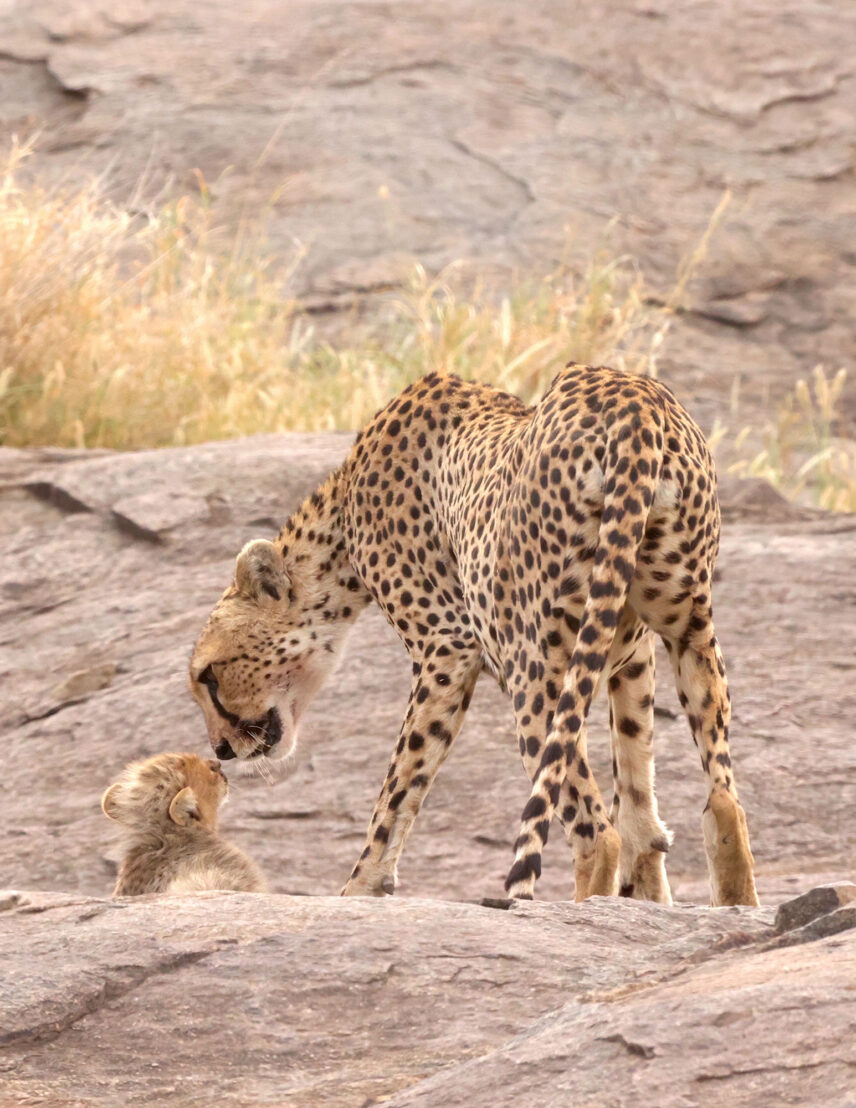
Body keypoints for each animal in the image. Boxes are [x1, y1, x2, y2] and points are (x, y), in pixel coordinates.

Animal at [189, 363, 759, 907]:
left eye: (209, 676)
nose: (221, 750)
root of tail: (635, 400)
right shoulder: (634, 655)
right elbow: (639, 796)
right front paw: (650, 900)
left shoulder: (446, 650)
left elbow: (399, 787)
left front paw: (357, 891)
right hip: (689, 627)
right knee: (722, 800)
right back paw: (734, 899)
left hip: (535, 674)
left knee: (595, 832)